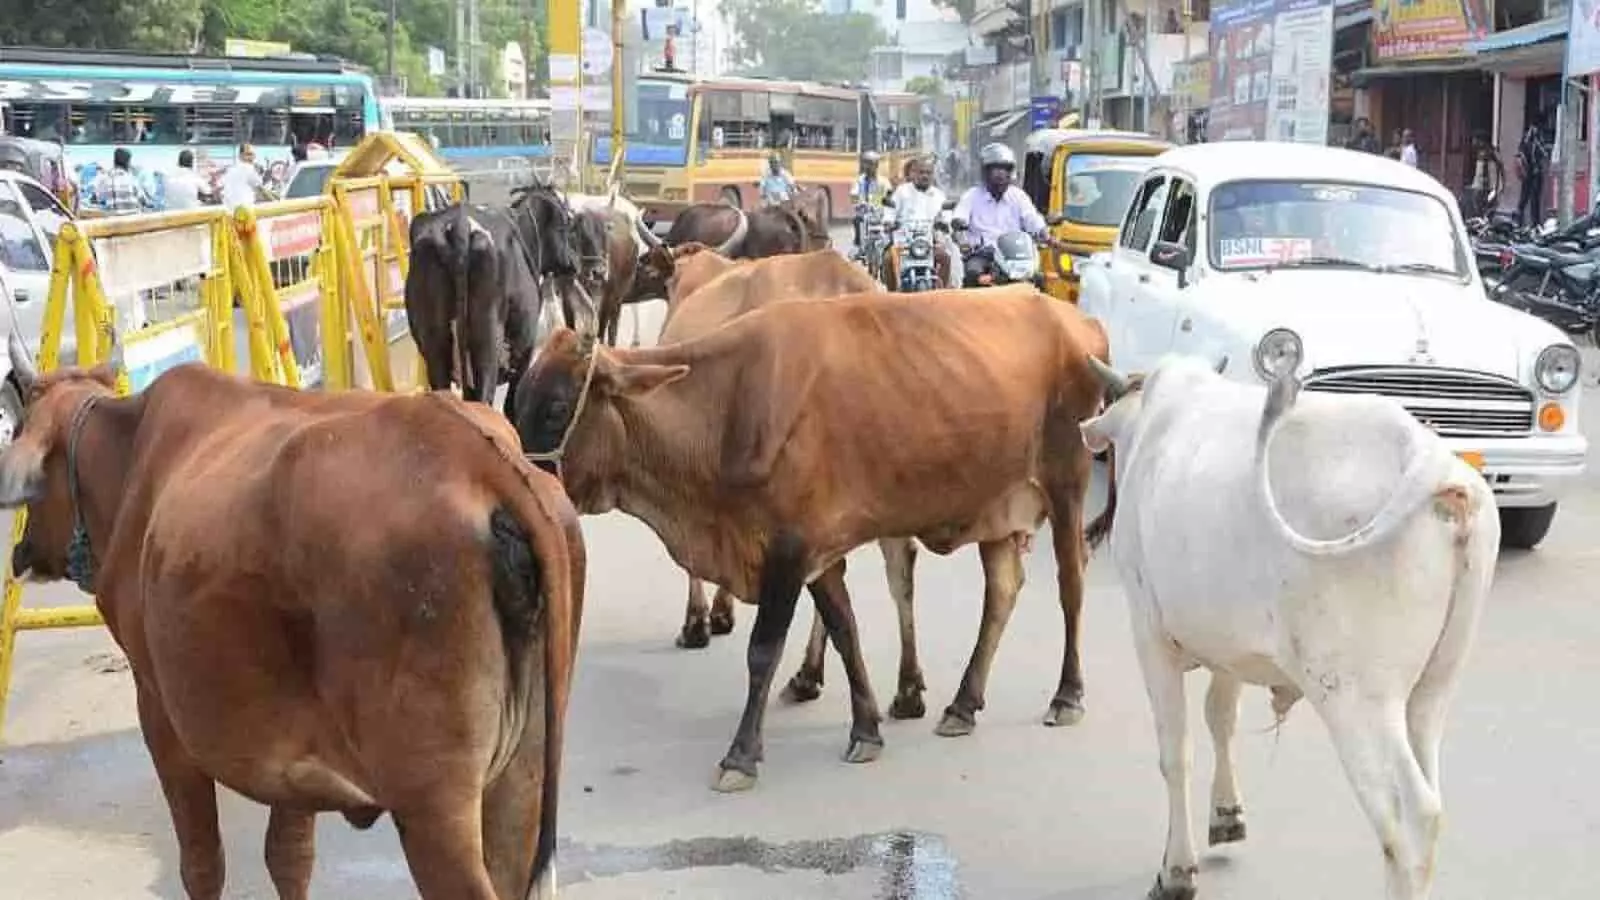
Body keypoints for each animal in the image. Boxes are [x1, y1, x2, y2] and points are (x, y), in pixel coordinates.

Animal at [0, 334, 584, 900]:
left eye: (24, 423)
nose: (22, 551)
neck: (128, 454)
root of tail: (473, 455)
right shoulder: (293, 750)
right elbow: (288, 858)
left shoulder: (160, 714)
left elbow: (202, 864)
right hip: (520, 778)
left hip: (432, 805)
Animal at [406, 202, 544, 412]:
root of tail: (460, 224)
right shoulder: (526, 352)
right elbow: (511, 405)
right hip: (487, 341)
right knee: (484, 398)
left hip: (435, 342)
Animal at [512, 285, 1110, 792]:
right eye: (518, 401)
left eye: (558, 407)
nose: (524, 485)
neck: (726, 408)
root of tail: (1077, 320)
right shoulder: (818, 552)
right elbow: (845, 631)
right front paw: (866, 728)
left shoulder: (788, 551)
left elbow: (763, 650)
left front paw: (741, 755)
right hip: (997, 509)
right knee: (1003, 591)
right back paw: (963, 705)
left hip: (1068, 483)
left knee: (1072, 583)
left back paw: (1067, 695)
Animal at [1079, 354, 1497, 900]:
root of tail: (1433, 464)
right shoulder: (1229, 650)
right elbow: (1221, 719)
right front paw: (1227, 814)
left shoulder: (1150, 634)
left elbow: (1175, 752)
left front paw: (1176, 871)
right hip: (1433, 690)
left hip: (1355, 699)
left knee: (1411, 821)